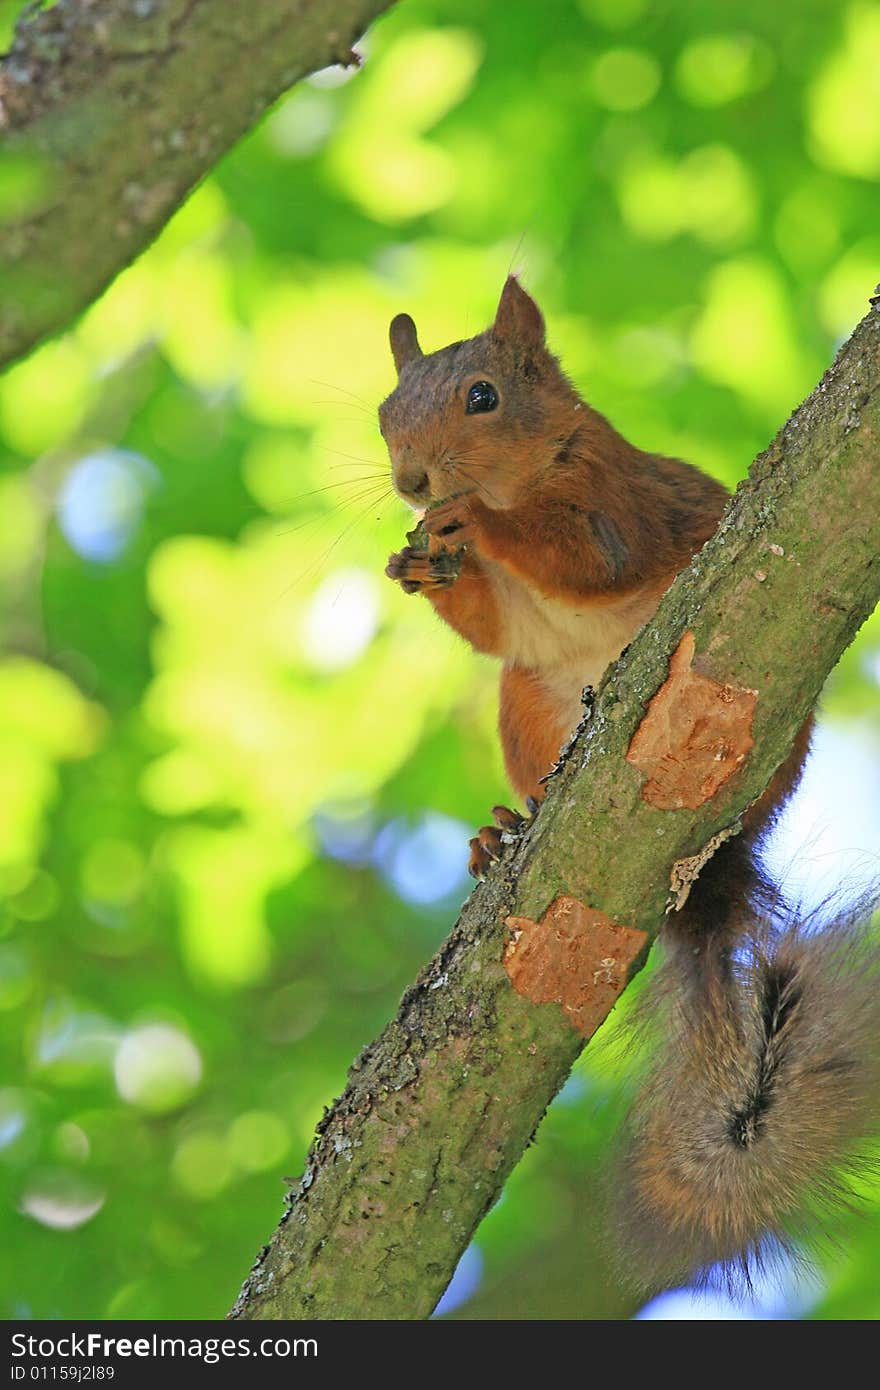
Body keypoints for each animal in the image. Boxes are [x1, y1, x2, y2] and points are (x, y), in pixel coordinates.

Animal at [378, 279, 878, 1289]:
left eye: (484, 396)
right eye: (384, 412)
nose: (412, 482)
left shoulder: (615, 498)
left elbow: (587, 558)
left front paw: (474, 523)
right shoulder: (502, 628)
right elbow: (488, 626)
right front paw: (417, 564)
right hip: (524, 707)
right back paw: (503, 829)